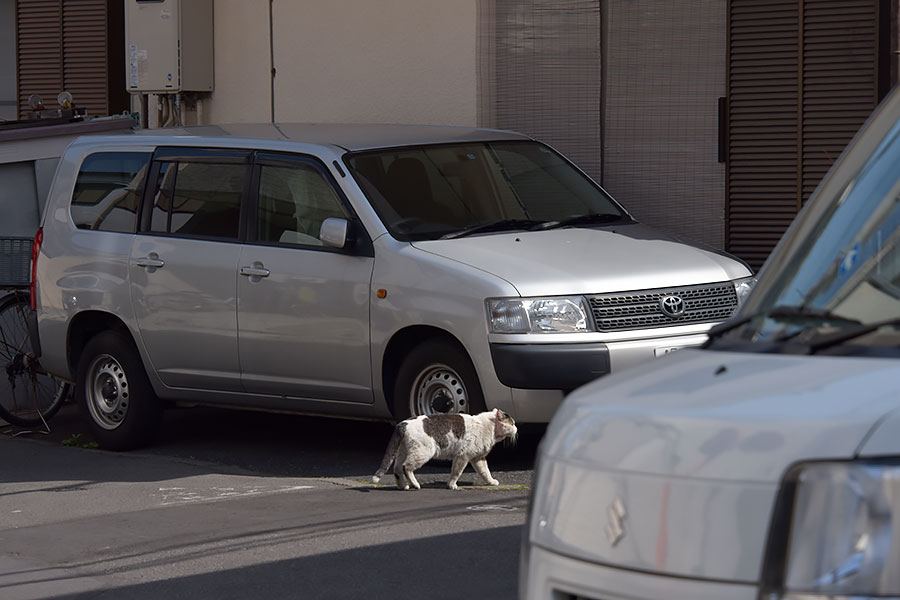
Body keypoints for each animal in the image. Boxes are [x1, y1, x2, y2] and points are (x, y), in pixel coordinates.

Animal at [370, 408, 516, 492]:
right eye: (512, 423)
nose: (516, 428)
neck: (488, 427)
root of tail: (403, 423)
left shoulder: (477, 458)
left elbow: (485, 472)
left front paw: (491, 482)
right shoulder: (462, 456)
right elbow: (456, 473)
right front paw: (452, 486)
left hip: (403, 452)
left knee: (397, 469)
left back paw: (402, 486)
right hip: (423, 452)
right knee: (406, 467)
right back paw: (415, 485)